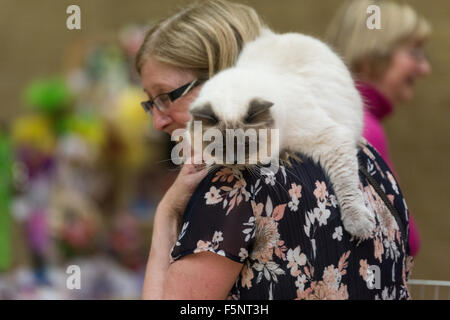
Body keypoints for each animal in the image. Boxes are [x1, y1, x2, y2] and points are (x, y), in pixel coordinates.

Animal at [190, 29, 376, 240]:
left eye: (246, 145)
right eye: (220, 147)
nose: (233, 162)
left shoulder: (330, 138)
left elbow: (348, 186)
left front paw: (359, 225)